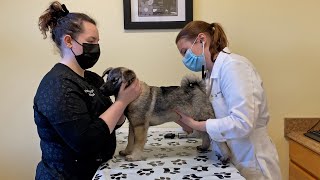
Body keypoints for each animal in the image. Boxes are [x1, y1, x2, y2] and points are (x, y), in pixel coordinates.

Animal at [100, 67, 230, 162]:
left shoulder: (140, 127)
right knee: (205, 135)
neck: (135, 95)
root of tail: (199, 89)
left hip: (202, 118)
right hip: (198, 120)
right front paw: (127, 151)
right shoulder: (133, 126)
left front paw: (134, 156)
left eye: (115, 80)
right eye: (107, 78)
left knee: (217, 139)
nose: (101, 89)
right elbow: (130, 140)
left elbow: (137, 143)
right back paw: (204, 147)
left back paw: (225, 156)